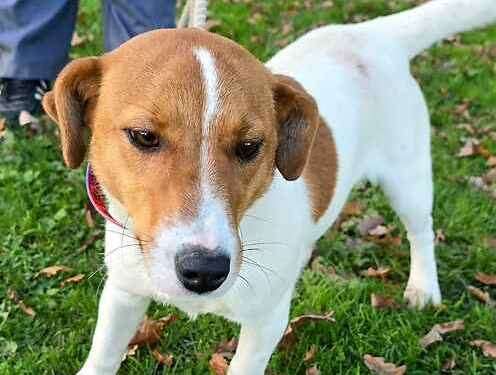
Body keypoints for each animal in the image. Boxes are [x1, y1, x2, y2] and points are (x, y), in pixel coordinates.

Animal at [43, 0, 496, 374]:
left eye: (249, 146)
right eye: (142, 136)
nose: (205, 271)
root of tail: (373, 34)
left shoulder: (266, 322)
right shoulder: (123, 293)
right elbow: (103, 355)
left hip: (408, 180)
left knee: (421, 231)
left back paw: (423, 286)